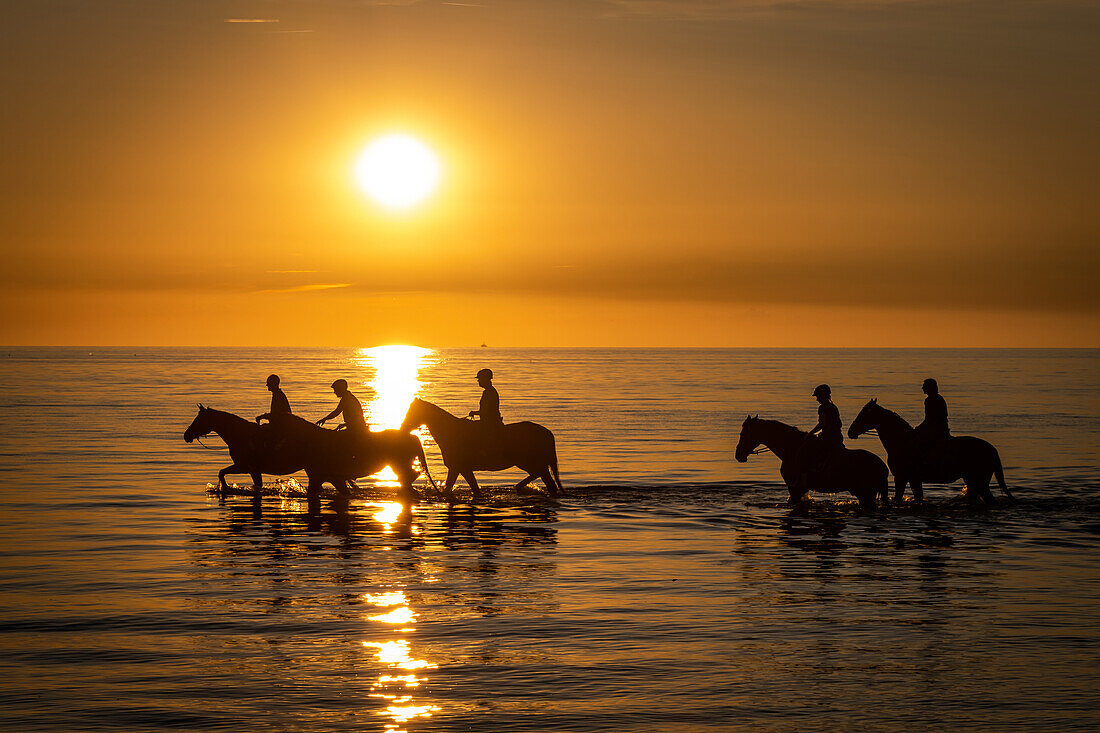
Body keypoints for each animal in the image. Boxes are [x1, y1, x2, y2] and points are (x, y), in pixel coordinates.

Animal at [183, 402, 433, 499]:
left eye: (199, 419)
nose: (186, 435)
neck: (241, 435)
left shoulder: (246, 466)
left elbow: (222, 473)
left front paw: (224, 489)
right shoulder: (253, 469)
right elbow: (250, 483)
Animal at [400, 396, 563, 499]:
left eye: (412, 412)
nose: (403, 428)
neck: (452, 432)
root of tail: (547, 432)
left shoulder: (456, 468)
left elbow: (448, 489)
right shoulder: (463, 469)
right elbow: (475, 489)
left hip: (528, 462)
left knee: (547, 481)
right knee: (540, 476)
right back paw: (519, 486)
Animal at [734, 411, 888, 508]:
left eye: (743, 433)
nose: (738, 454)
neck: (790, 448)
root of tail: (882, 466)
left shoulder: (794, 488)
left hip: (867, 494)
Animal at [849, 396, 1012, 506]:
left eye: (864, 413)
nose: (851, 432)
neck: (902, 441)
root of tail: (992, 449)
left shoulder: (901, 477)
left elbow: (898, 498)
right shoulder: (914, 479)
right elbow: (918, 498)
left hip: (979, 482)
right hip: (973, 481)